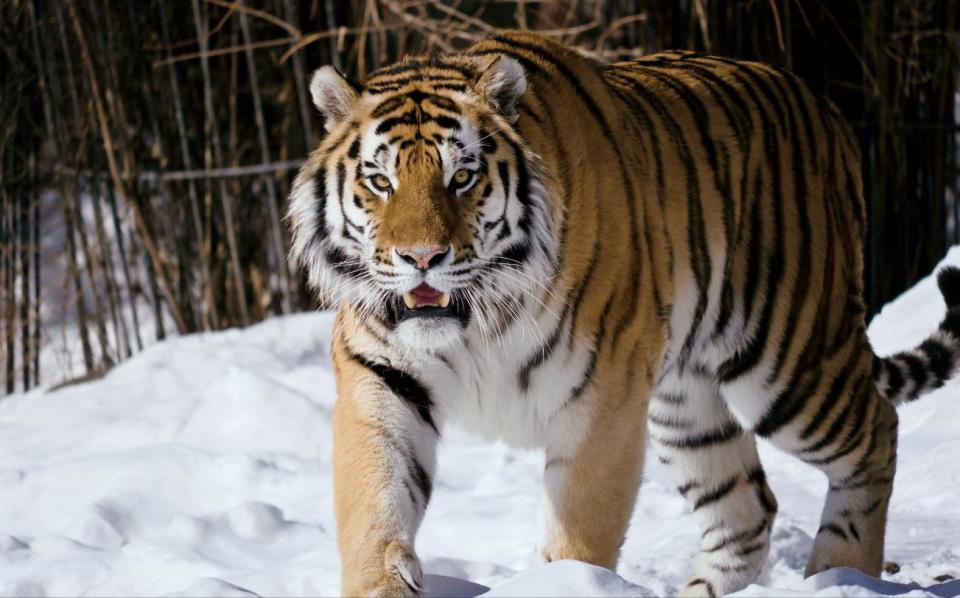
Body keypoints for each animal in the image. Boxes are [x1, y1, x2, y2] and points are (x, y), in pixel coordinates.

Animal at [284, 29, 960, 598]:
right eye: (380, 181)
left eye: (463, 177)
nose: (422, 258)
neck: (477, 321)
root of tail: (829, 111)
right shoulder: (381, 380)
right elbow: (374, 507)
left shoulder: (601, 398)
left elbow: (580, 532)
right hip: (686, 401)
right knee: (746, 508)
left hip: (787, 359)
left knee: (876, 431)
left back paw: (841, 574)